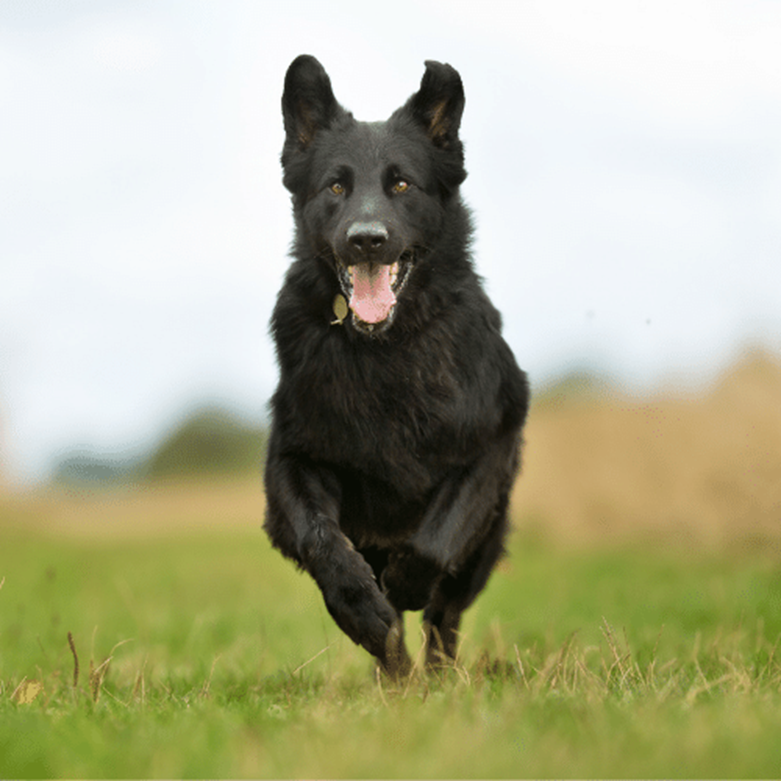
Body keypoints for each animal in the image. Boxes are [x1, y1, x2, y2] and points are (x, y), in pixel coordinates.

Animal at [264, 56, 532, 676]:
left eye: (402, 184)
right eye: (336, 185)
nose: (367, 240)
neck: (385, 349)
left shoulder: (489, 444)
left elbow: (436, 539)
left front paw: (406, 583)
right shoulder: (293, 459)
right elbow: (320, 539)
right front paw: (363, 608)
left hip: (486, 543)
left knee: (445, 618)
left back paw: (436, 677)